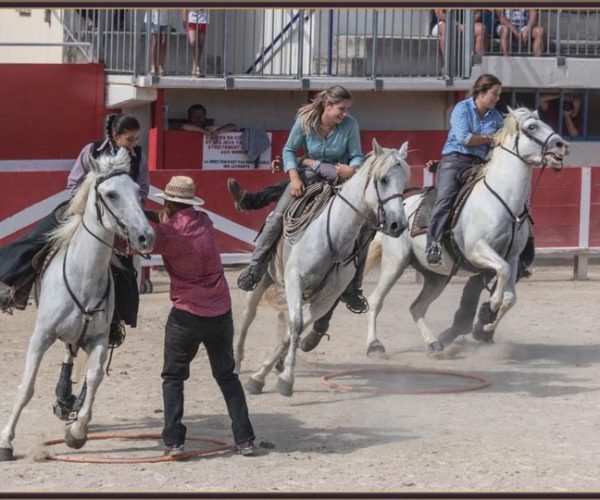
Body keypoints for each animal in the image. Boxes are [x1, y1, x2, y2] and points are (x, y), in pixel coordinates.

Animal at [0, 148, 155, 460]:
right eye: (110, 194)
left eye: (137, 191)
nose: (146, 236)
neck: (83, 274)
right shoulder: (41, 335)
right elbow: (26, 387)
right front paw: (6, 441)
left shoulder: (99, 337)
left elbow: (94, 377)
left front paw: (77, 432)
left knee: (72, 355)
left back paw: (66, 401)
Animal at [234, 139, 412, 396]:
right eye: (383, 179)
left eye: (405, 179)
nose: (398, 224)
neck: (334, 236)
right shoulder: (295, 279)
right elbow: (295, 324)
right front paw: (276, 377)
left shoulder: (327, 297)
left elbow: (294, 328)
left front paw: (273, 373)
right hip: (264, 279)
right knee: (248, 316)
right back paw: (237, 362)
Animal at [366, 107, 568, 354]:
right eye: (531, 127)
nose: (561, 145)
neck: (503, 201)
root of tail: (399, 209)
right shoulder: (477, 250)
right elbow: (501, 274)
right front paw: (491, 307)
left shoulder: (512, 257)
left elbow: (510, 296)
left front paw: (487, 325)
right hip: (394, 263)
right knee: (376, 300)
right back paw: (374, 345)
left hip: (436, 277)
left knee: (416, 307)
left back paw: (434, 343)